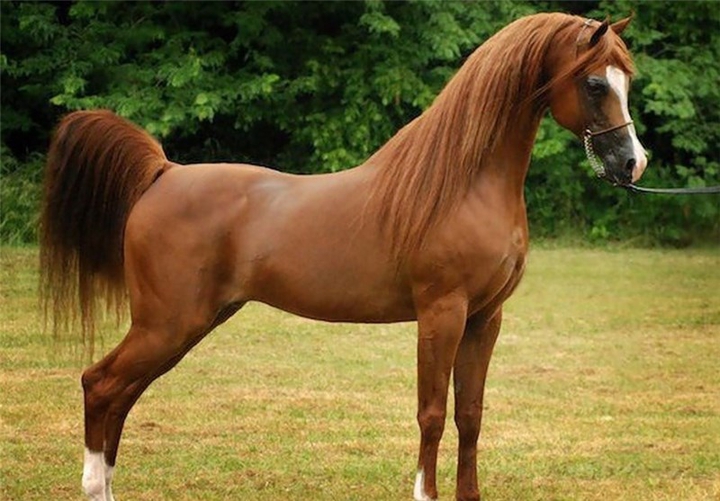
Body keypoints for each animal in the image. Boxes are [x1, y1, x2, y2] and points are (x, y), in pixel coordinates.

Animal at [40, 12, 647, 501]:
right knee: (100, 384)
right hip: (168, 324)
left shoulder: (484, 318)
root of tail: (161, 173)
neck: (463, 184)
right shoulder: (441, 314)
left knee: (120, 396)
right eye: (595, 82)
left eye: (628, 80)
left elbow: (469, 416)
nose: (632, 164)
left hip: (187, 326)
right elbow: (432, 414)